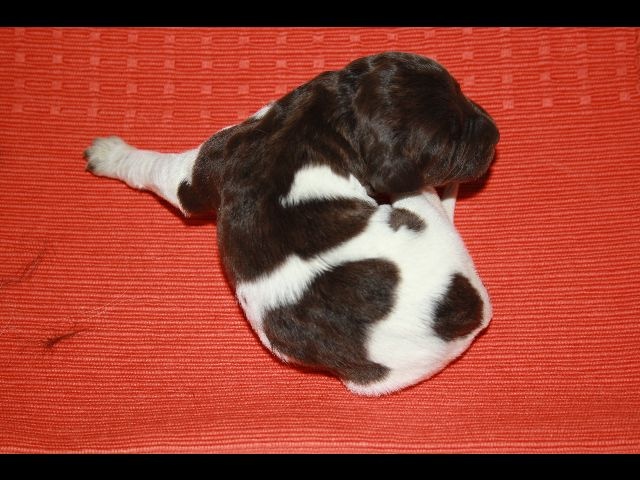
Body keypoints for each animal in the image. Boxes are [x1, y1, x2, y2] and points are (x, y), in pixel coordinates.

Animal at [85, 51, 498, 395]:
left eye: (461, 90)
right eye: (448, 143)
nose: (495, 134)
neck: (333, 116)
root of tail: (466, 316)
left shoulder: (204, 166)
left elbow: (155, 168)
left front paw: (110, 154)